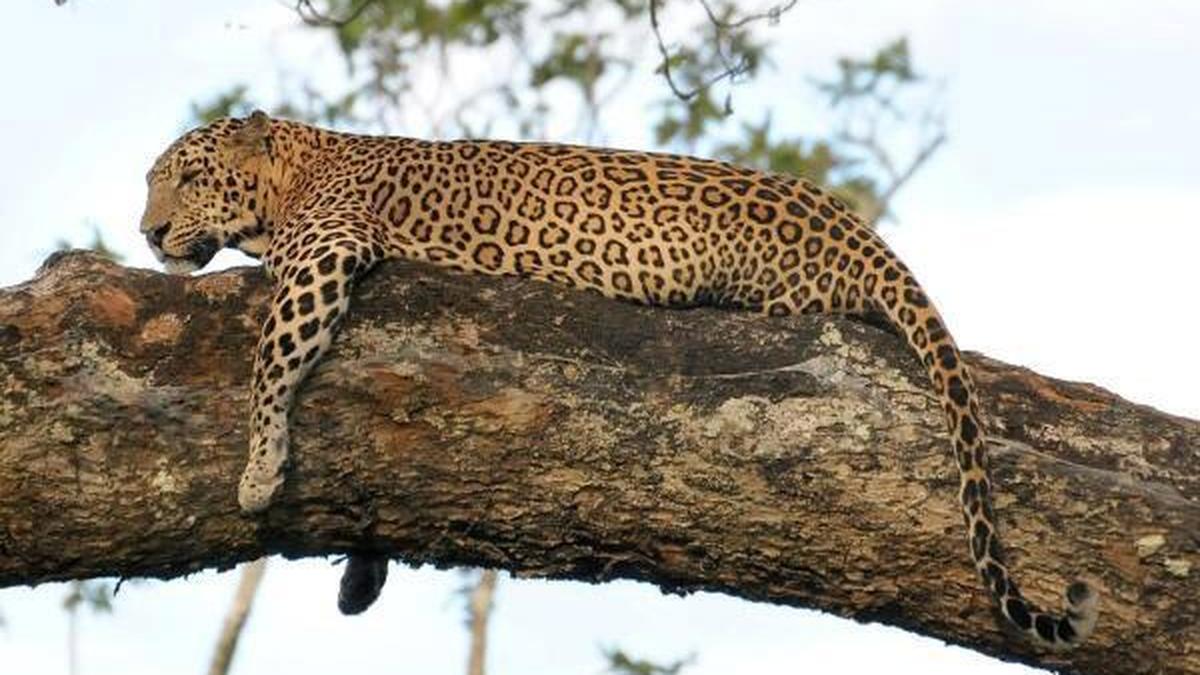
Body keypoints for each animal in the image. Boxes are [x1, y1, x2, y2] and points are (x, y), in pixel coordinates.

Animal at [139, 110, 1098, 647]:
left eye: (187, 177)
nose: (148, 233)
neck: (294, 172)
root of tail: (859, 232)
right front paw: (359, 574)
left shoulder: (324, 252)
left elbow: (272, 358)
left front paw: (258, 468)